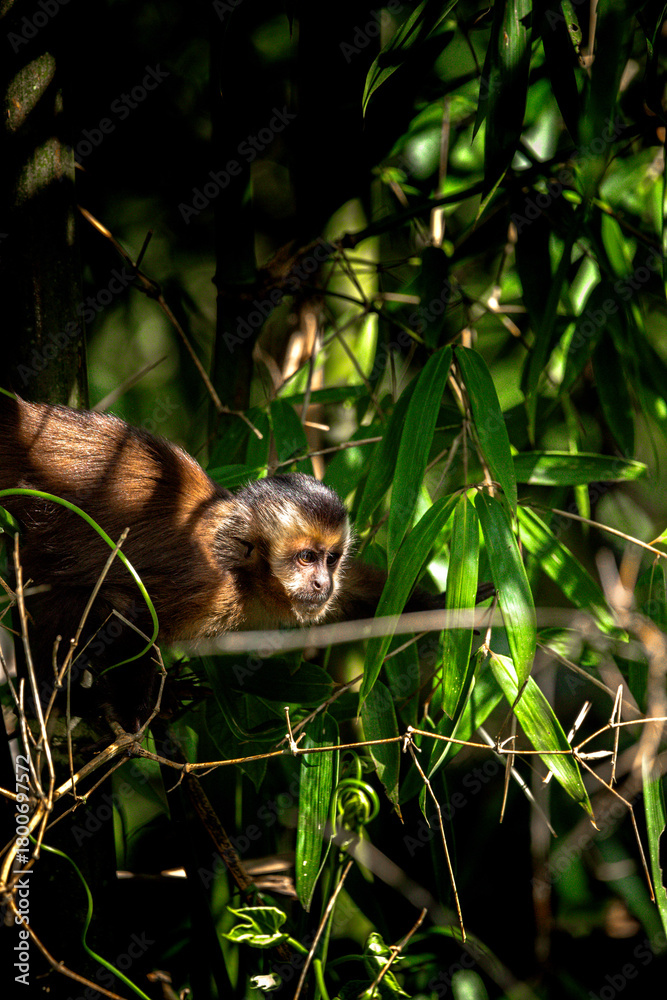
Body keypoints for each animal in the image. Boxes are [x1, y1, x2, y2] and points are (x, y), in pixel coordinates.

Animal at [0, 394, 487, 733]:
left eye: (330, 560)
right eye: (305, 558)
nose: (321, 584)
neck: (240, 570)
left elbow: (372, 599)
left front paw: (465, 604)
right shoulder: (205, 583)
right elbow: (123, 611)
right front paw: (136, 711)